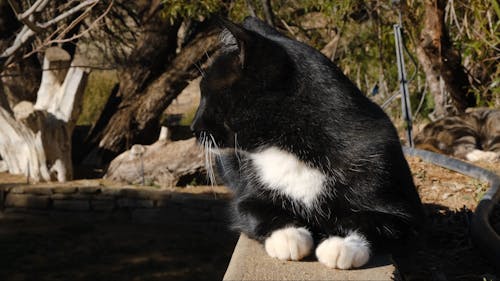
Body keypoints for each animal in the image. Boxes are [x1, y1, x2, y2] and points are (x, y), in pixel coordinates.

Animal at [189, 16, 424, 268]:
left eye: (206, 93)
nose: (192, 127)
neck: (290, 147)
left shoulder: (398, 199)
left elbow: (374, 221)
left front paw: (343, 245)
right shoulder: (247, 198)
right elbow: (253, 209)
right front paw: (288, 236)